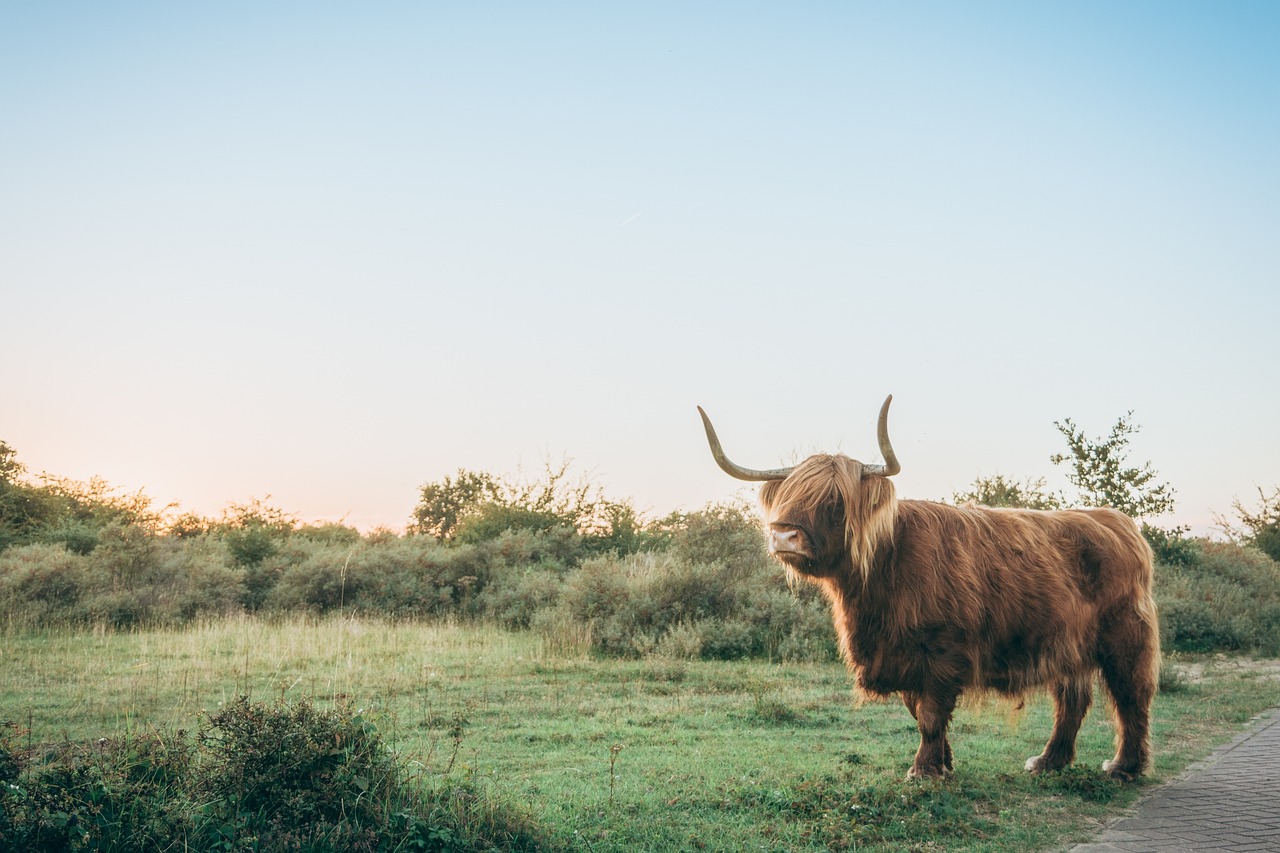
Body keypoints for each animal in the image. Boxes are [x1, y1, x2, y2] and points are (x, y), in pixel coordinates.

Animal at [701, 394, 1162, 778]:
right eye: (788, 495)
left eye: (834, 501)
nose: (783, 535)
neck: (884, 571)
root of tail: (1115, 521)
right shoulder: (903, 654)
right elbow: (918, 710)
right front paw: (945, 763)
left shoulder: (944, 651)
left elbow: (930, 714)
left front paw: (923, 771)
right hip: (1068, 643)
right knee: (1072, 700)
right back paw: (1049, 761)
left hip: (1125, 636)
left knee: (1131, 696)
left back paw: (1125, 767)